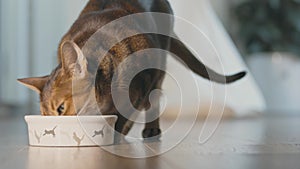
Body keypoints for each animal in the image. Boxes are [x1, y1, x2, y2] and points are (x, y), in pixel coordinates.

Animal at [17, 0, 246, 143]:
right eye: (44, 114)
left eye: (61, 108)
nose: (53, 124)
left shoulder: (143, 82)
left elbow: (126, 113)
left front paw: (116, 135)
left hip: (160, 64)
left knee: (152, 100)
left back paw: (150, 129)